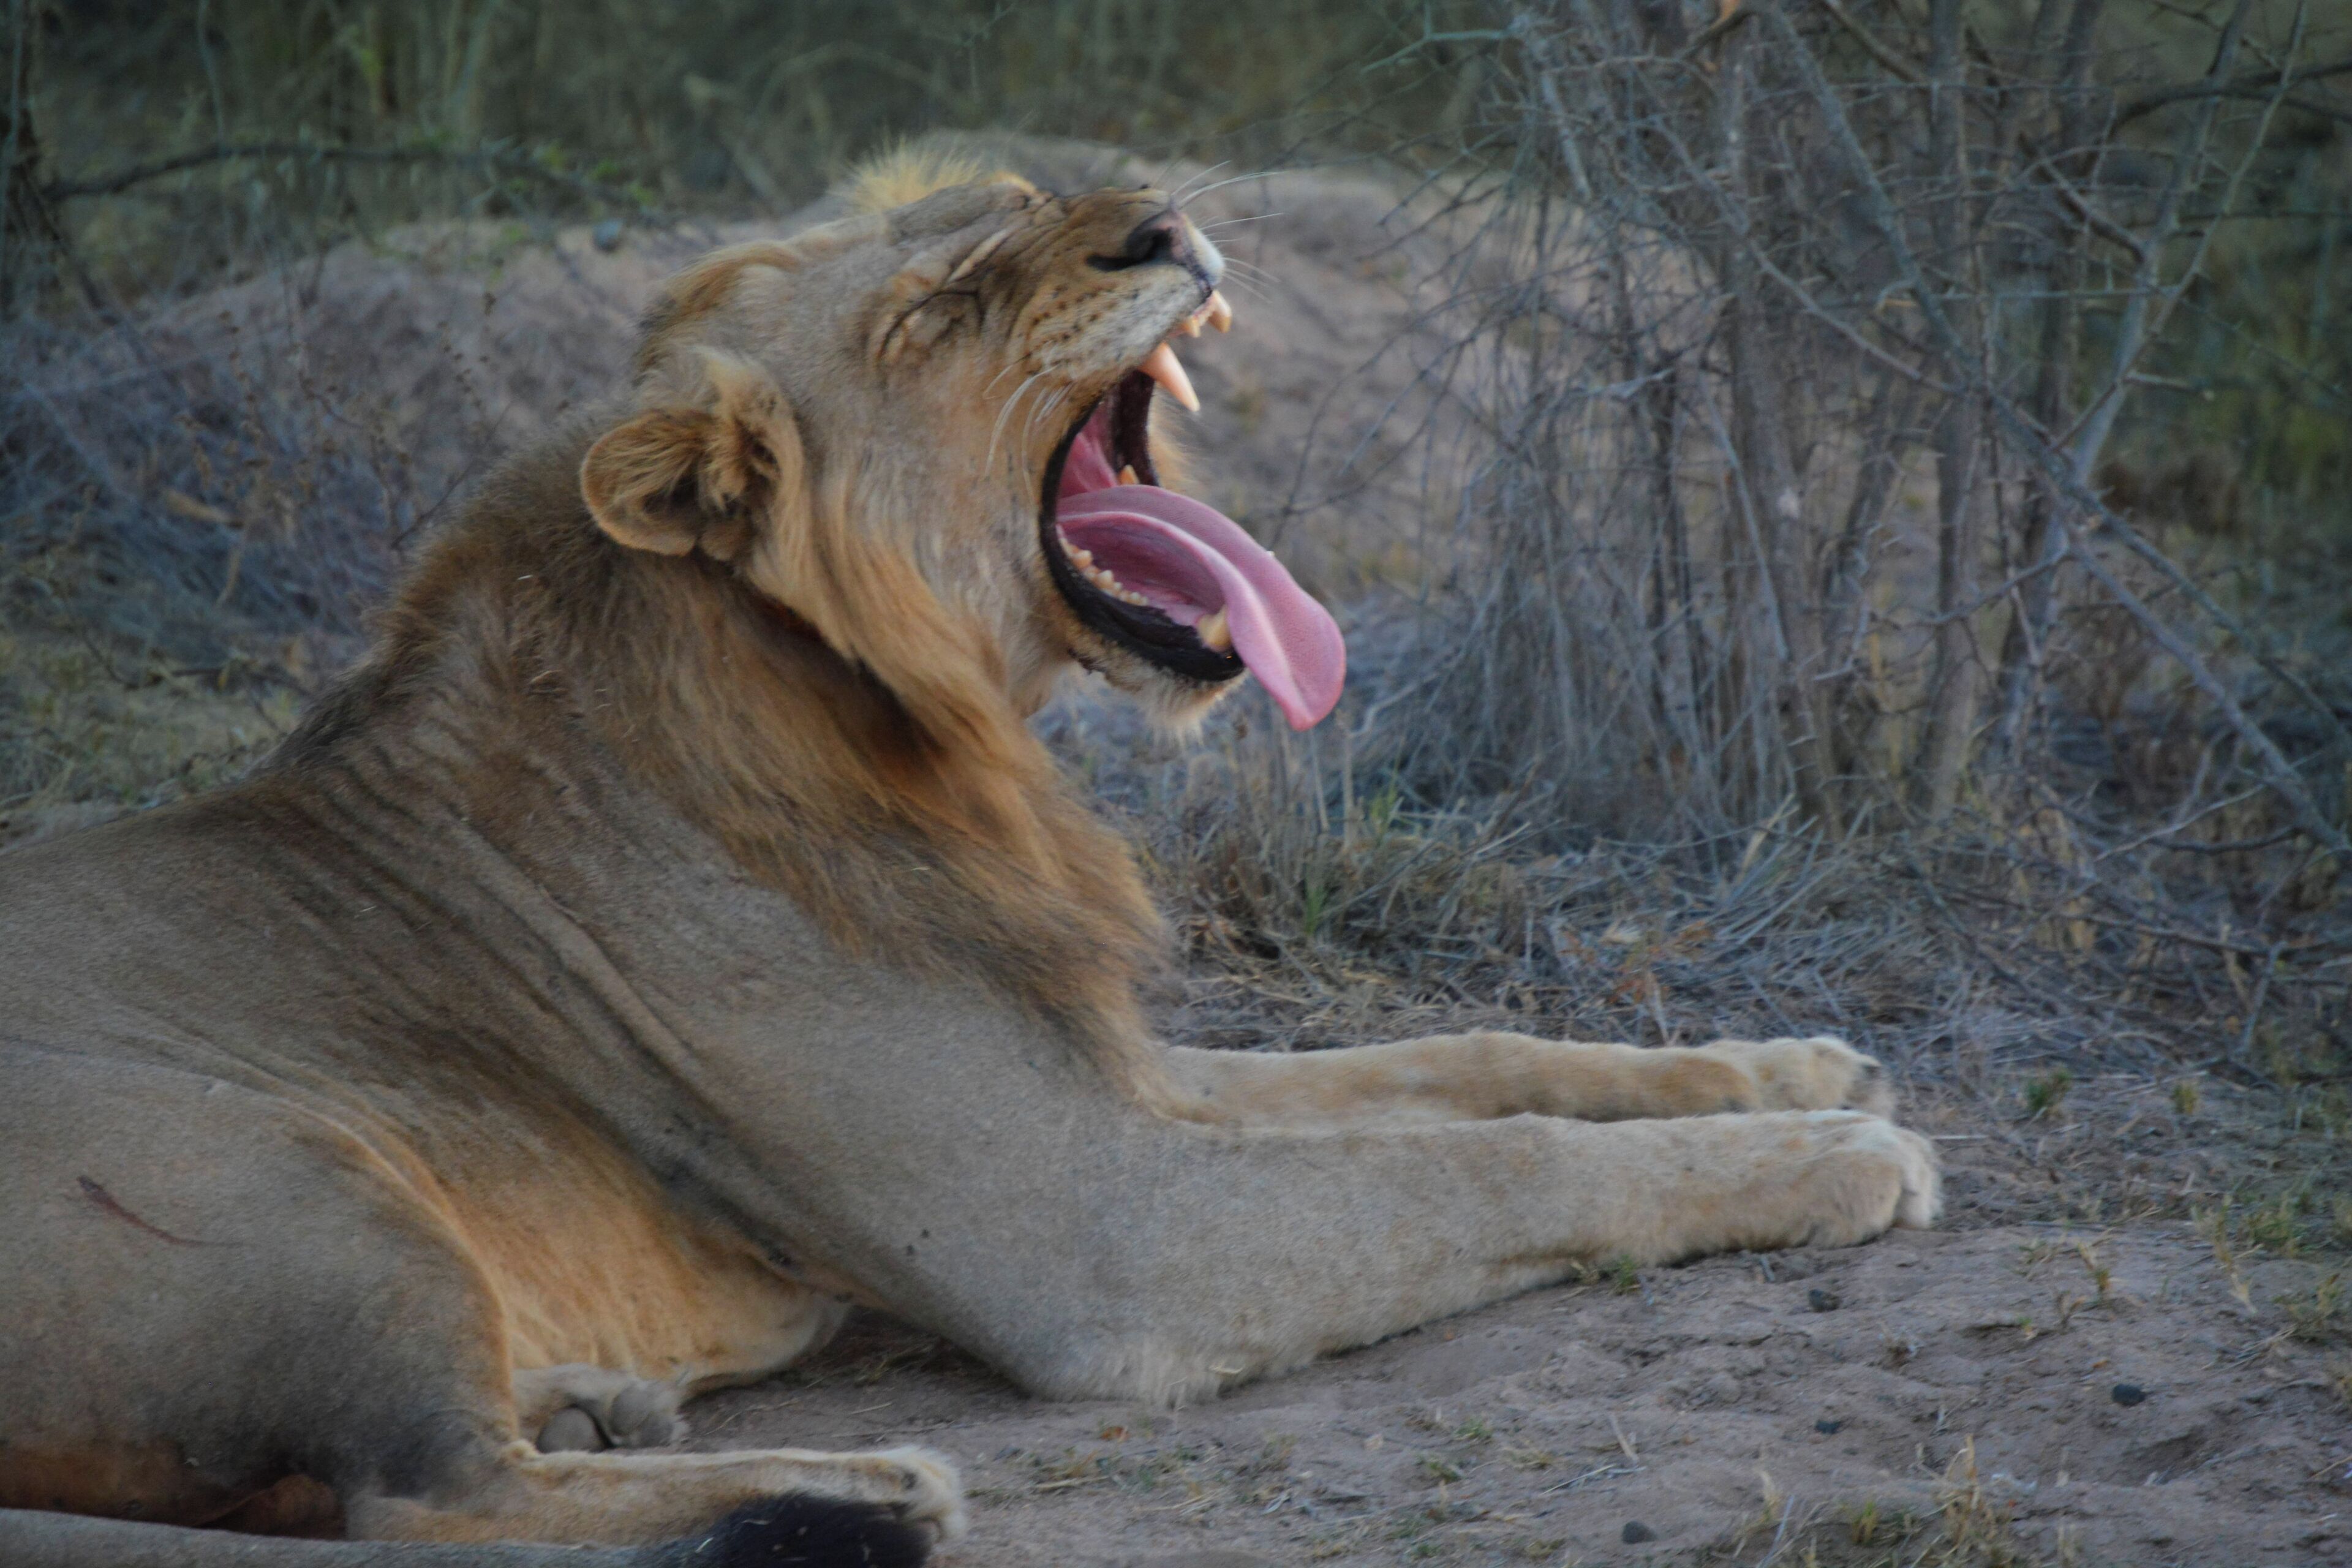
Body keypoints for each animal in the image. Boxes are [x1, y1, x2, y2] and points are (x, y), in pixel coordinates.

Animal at [0, 159, 1938, 1567]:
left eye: (1017, 205)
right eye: (940, 310)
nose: (1165, 222)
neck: (949, 744)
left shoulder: (1113, 1079)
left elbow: (1470, 1059)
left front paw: (1788, 1065)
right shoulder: (1097, 1230)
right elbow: (1486, 1164)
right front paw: (1832, 1154)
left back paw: (606, 1404)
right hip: (280, 1168)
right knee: (426, 1501)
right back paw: (865, 1496)